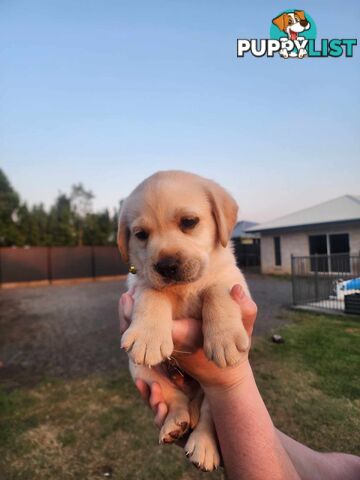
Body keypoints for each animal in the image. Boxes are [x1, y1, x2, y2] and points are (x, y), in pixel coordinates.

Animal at [119, 171, 249, 470]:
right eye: (141, 235)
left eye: (189, 222)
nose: (166, 266)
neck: (184, 287)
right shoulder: (140, 282)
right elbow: (153, 292)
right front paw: (148, 337)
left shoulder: (233, 279)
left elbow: (216, 291)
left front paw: (224, 339)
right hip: (142, 372)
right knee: (175, 400)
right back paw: (175, 425)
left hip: (213, 393)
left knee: (208, 416)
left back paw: (203, 445)